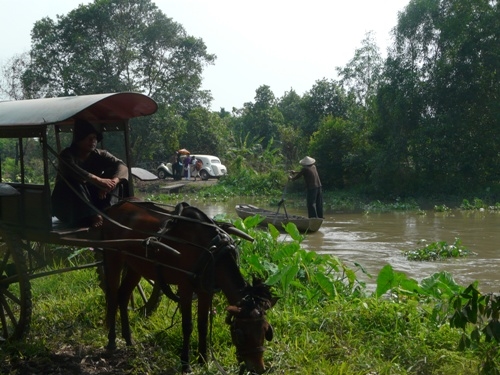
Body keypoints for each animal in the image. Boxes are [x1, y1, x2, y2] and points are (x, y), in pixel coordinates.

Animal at [99, 201, 276, 374]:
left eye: (265, 331)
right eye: (240, 334)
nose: (259, 369)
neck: (210, 249)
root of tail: (115, 207)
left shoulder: (205, 290)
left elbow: (203, 325)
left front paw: (204, 360)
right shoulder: (184, 287)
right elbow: (187, 325)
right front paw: (186, 363)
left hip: (136, 265)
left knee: (123, 295)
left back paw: (128, 339)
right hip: (113, 255)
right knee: (113, 296)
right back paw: (112, 341)